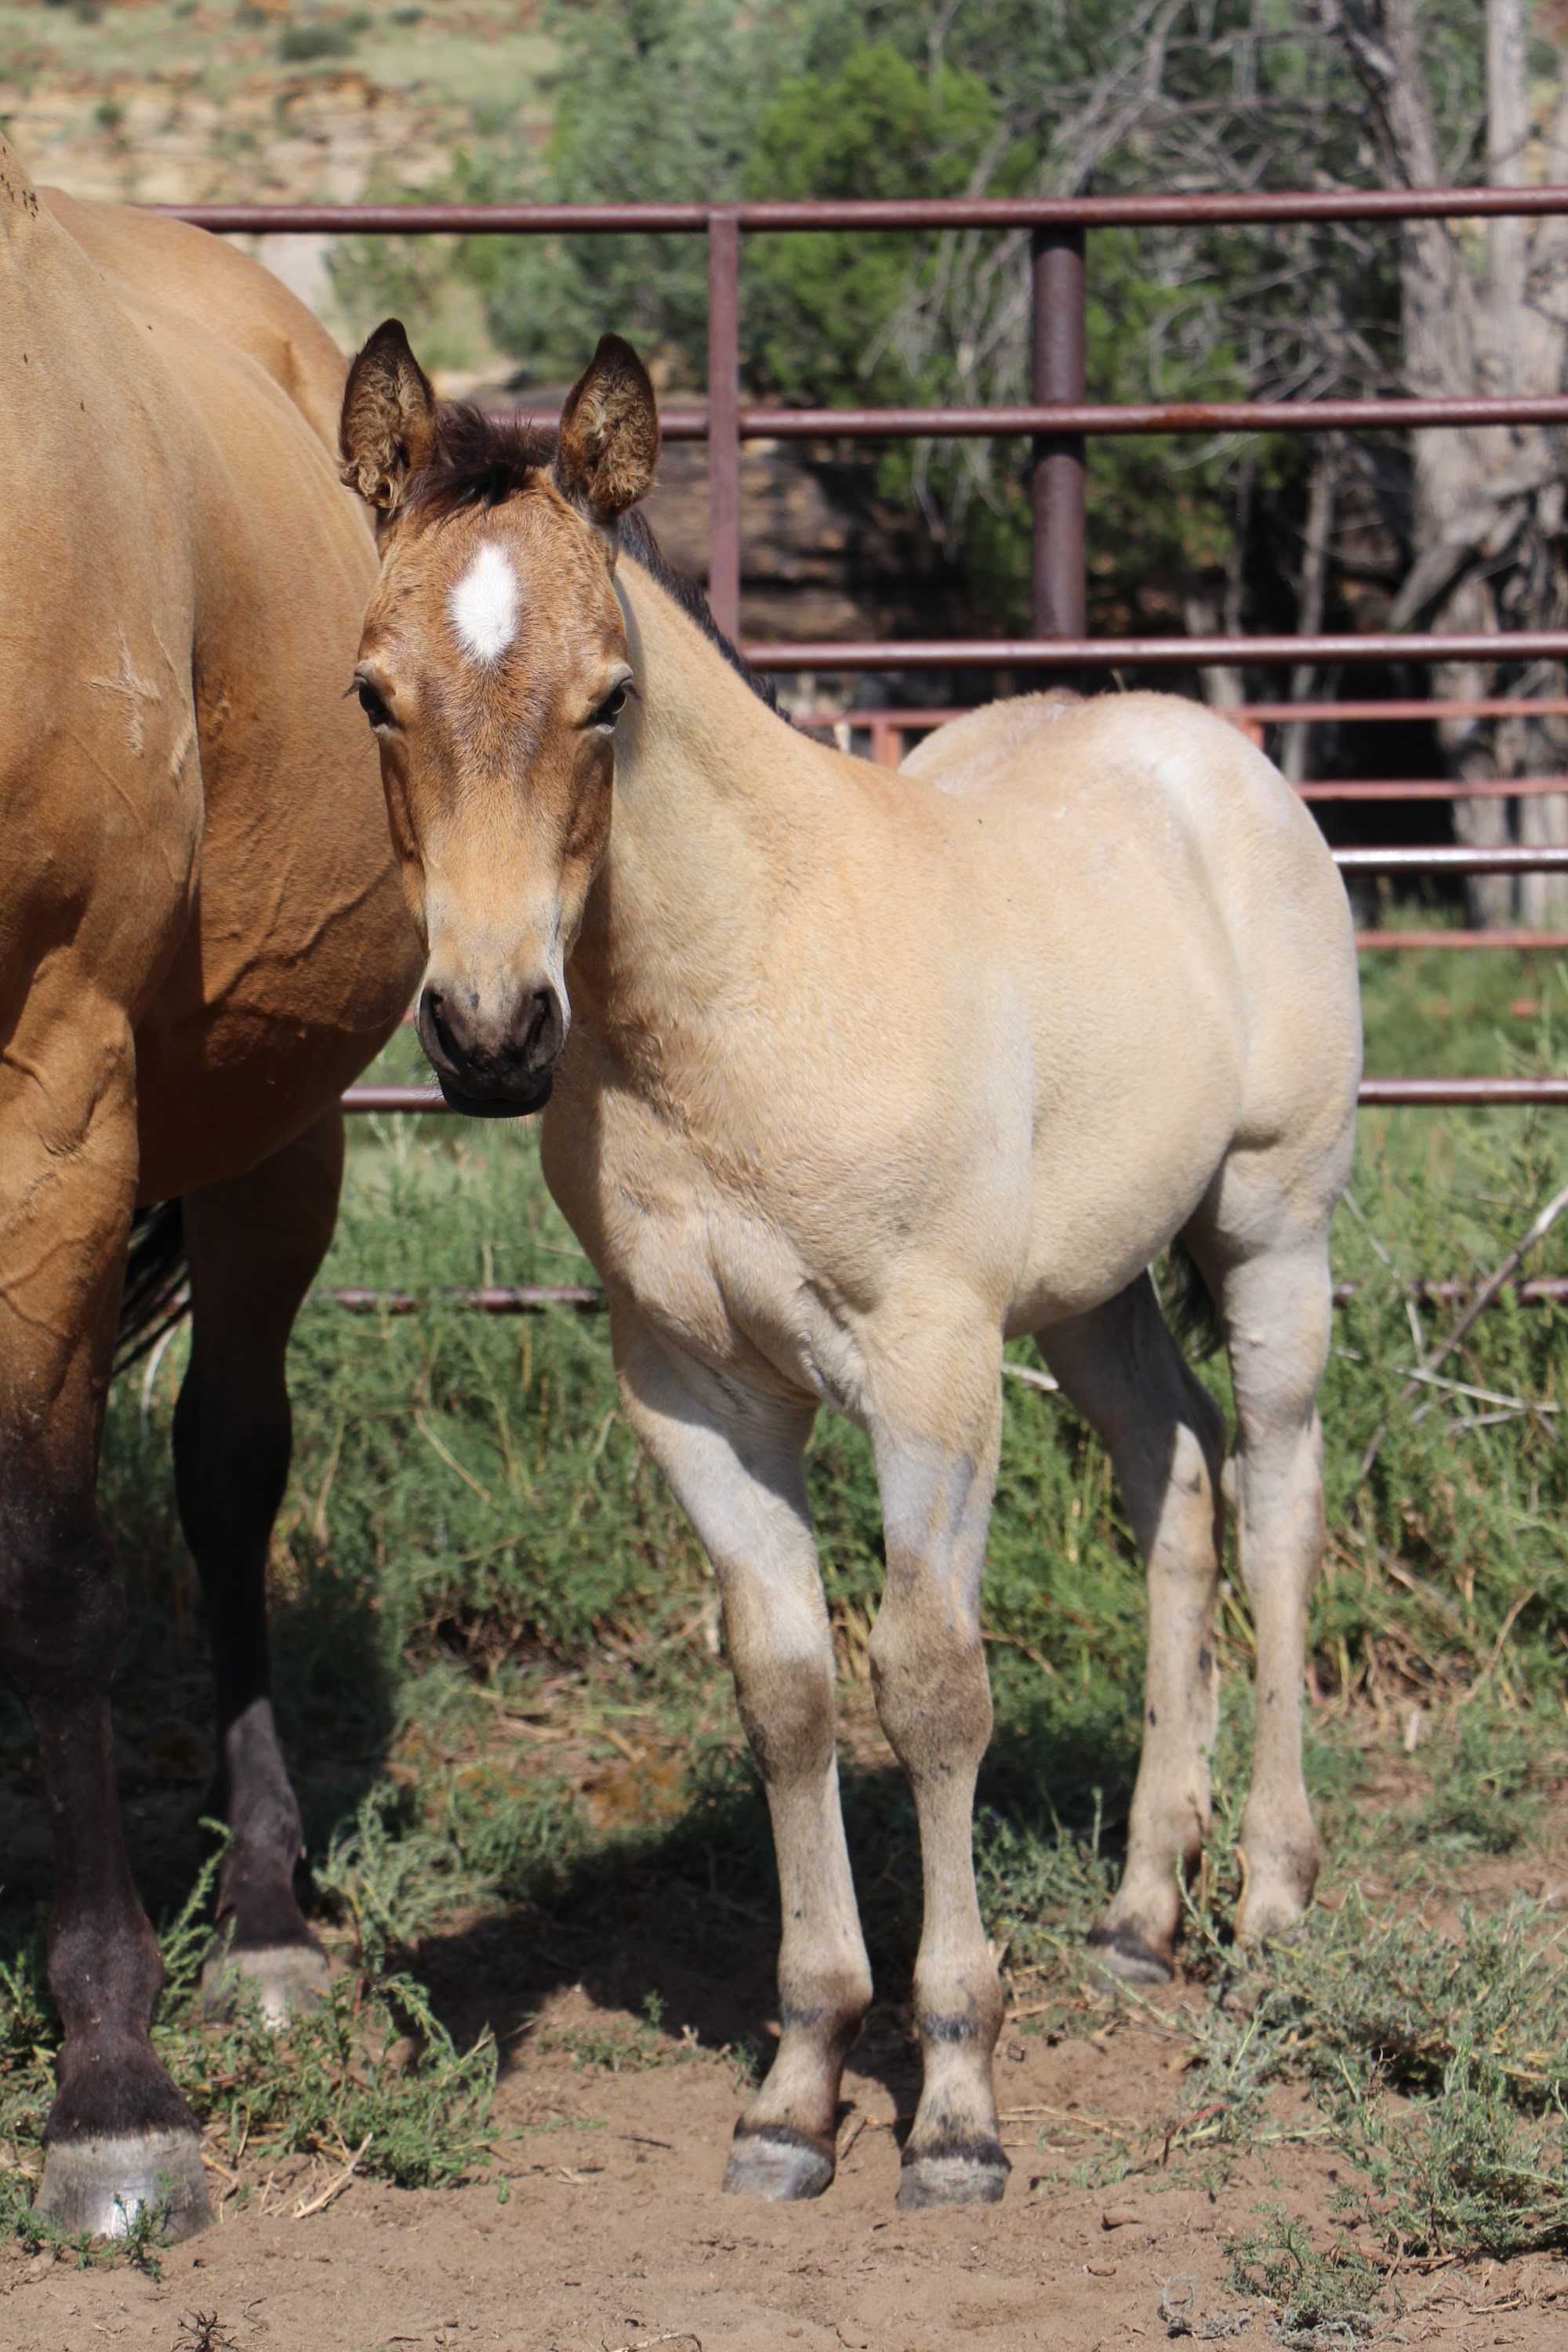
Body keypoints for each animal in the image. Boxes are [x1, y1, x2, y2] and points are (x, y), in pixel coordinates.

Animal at [337, 321, 1362, 2210]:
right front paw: (798, 2084)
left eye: (610, 697)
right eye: (374, 691)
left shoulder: (927, 1364)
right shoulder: (693, 1389)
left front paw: (953, 2104)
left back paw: (1268, 1898)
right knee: (1174, 1480)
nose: (494, 1034)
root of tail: (1207, 740)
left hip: (1271, 1223)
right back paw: (1140, 1911)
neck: (743, 985)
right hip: (1094, 1283)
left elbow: (932, 1690)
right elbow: (792, 1693)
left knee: (1272, 1497)